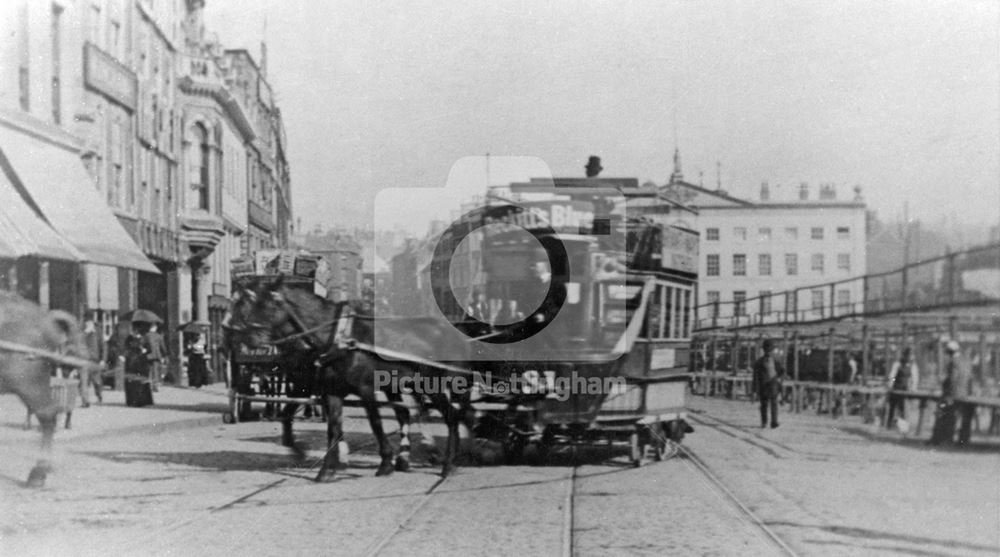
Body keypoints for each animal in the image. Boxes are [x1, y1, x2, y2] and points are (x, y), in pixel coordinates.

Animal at [230, 280, 472, 480]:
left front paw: (385, 462)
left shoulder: (365, 388)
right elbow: (333, 428)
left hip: (433, 384)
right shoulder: (330, 392)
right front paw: (327, 469)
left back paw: (447, 464)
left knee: (450, 416)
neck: (337, 339)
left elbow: (375, 424)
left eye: (269, 305)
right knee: (416, 414)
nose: (248, 338)